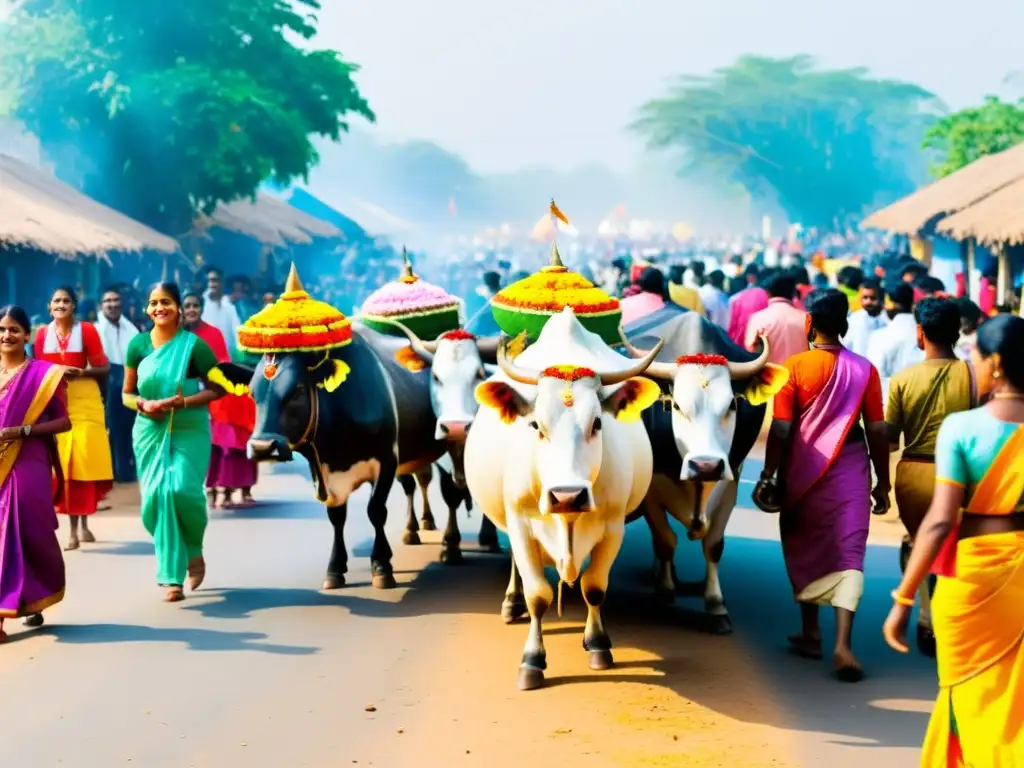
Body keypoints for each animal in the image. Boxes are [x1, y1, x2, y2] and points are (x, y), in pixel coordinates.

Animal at [466, 309, 659, 696]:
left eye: (597, 423)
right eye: (536, 426)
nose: (567, 495)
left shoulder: (613, 527)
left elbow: (594, 587)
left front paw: (598, 643)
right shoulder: (520, 524)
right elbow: (537, 595)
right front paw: (531, 661)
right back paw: (510, 603)